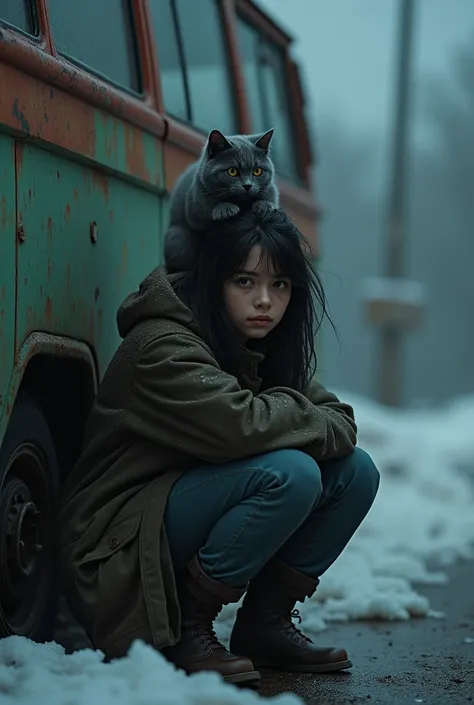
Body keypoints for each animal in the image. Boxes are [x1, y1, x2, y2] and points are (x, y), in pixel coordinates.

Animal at [165, 126, 280, 272]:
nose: (248, 185)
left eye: (257, 171)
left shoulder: (272, 190)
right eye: (232, 171)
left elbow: (269, 198)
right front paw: (225, 209)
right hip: (178, 239)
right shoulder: (194, 202)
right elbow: (206, 208)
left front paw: (265, 206)